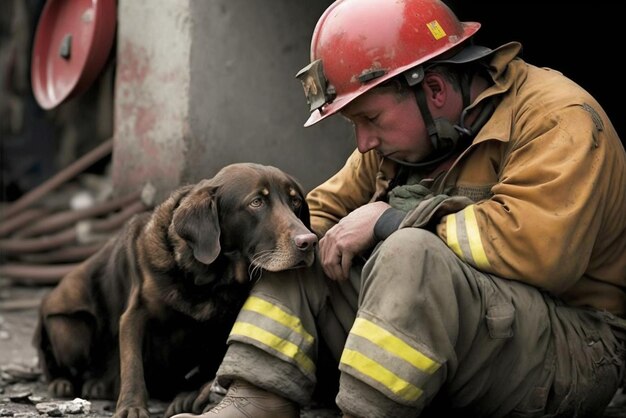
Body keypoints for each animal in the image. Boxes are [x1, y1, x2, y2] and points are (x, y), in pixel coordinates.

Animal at [33, 163, 316, 418]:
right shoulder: (135, 315)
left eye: (295, 202)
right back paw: (65, 383)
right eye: (256, 202)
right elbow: (132, 365)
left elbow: (213, 364)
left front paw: (193, 395)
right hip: (70, 329)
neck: (207, 279)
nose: (309, 242)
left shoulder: (226, 323)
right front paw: (131, 407)